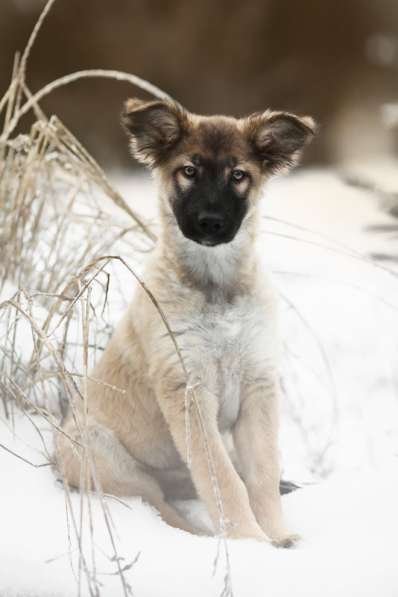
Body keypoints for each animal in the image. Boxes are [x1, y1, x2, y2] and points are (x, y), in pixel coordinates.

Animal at [55, 99, 314, 544]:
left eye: (238, 175)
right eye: (189, 171)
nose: (211, 222)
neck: (217, 285)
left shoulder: (258, 384)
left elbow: (260, 473)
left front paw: (277, 536)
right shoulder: (187, 388)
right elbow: (223, 482)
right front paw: (250, 541)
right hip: (96, 449)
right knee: (157, 504)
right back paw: (200, 535)